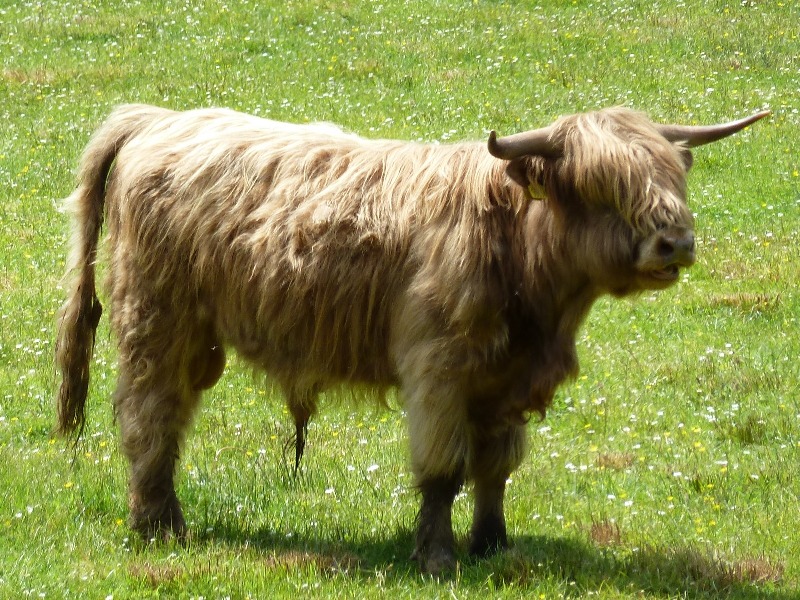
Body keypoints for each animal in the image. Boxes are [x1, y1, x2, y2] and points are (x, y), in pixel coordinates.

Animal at [56, 103, 768, 572]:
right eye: (601, 185)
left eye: (673, 176)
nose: (675, 242)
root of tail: (158, 118)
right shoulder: (440, 369)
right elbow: (443, 470)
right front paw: (437, 557)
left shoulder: (505, 382)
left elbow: (495, 469)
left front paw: (492, 545)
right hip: (160, 322)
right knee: (153, 420)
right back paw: (158, 526)